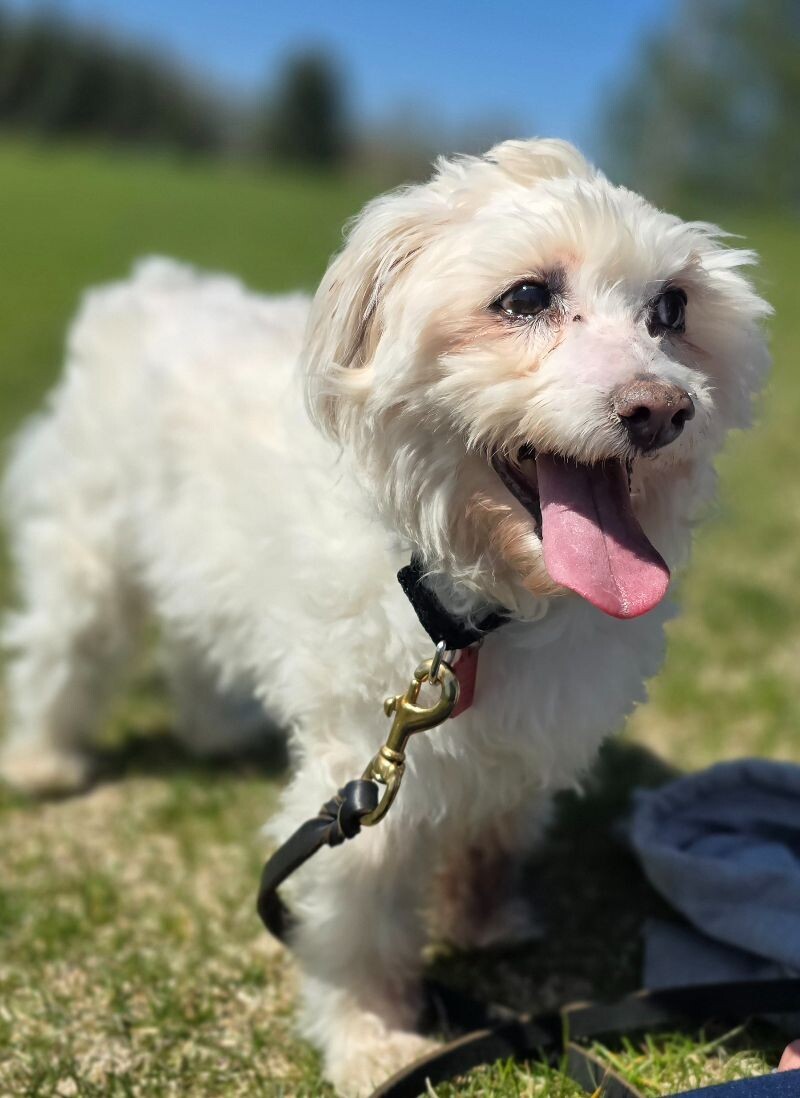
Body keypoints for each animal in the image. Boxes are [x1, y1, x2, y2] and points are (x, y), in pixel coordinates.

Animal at [3, 141, 772, 1093]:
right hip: (91, 550)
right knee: (68, 649)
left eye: (672, 307)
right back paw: (43, 761)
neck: (478, 603)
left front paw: (483, 919)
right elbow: (360, 903)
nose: (661, 408)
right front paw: (372, 1037)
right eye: (526, 297)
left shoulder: (521, 732)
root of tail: (146, 288)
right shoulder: (365, 765)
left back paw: (212, 730)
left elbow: (494, 828)